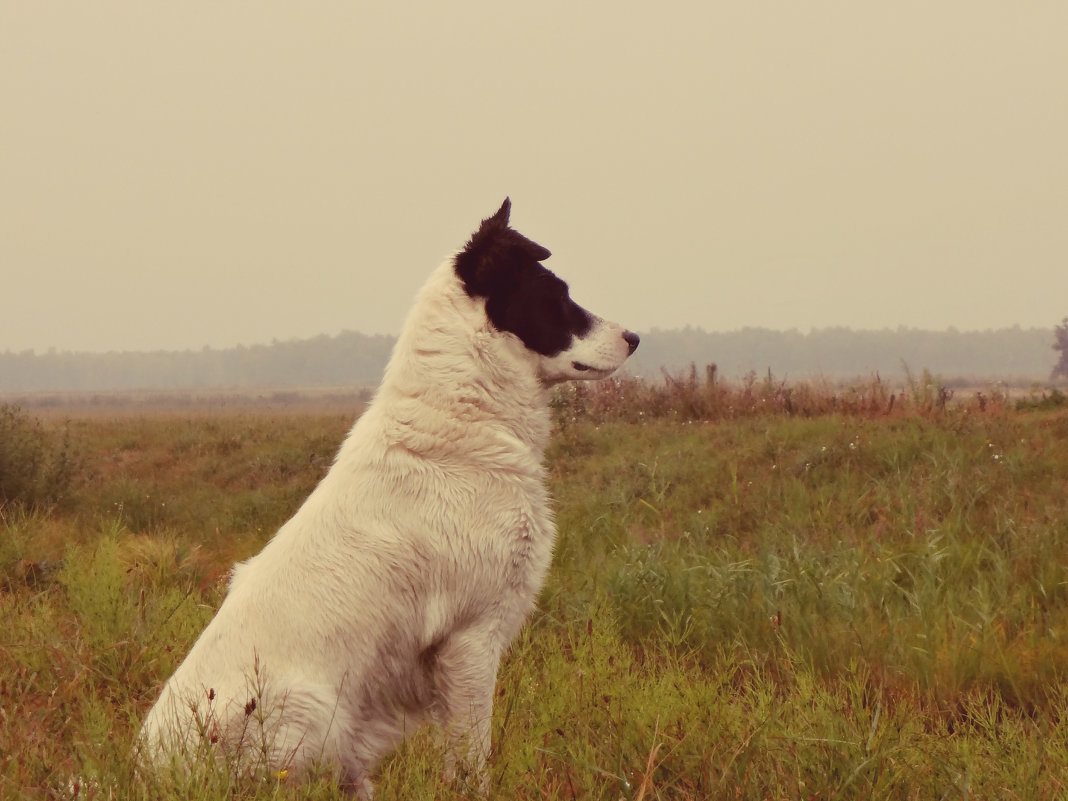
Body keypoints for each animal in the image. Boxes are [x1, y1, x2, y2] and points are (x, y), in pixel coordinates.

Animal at [133, 199, 632, 798]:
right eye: (556, 295)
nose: (634, 338)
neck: (462, 415)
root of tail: (148, 769)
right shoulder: (470, 641)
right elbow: (472, 760)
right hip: (311, 711)